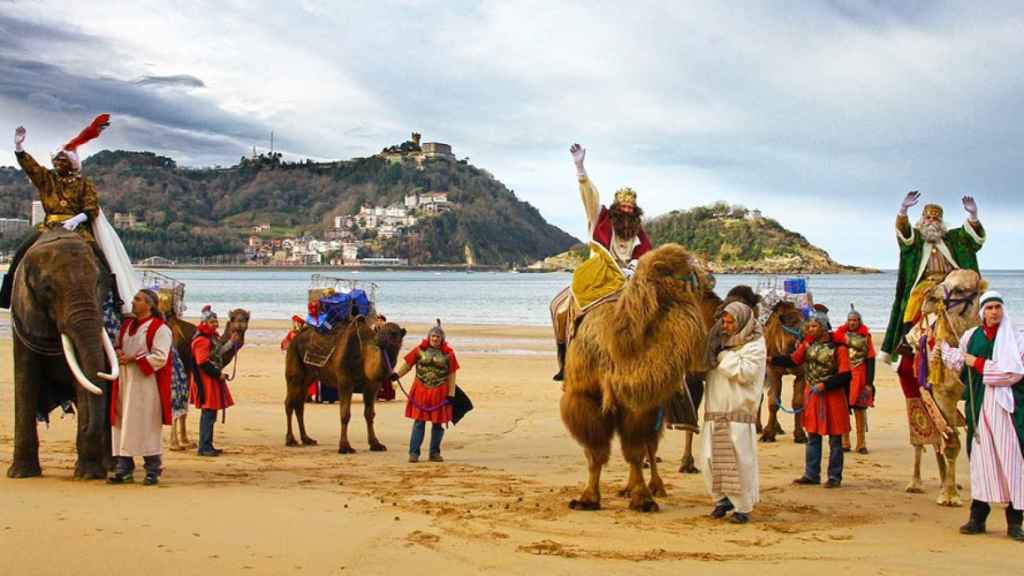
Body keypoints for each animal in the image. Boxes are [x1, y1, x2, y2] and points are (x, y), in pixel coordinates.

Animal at [7, 226, 119, 477]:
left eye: (99, 282)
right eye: (47, 289)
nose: (87, 428)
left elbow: (85, 382)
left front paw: (88, 474)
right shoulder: (22, 316)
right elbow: (25, 378)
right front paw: (21, 473)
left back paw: (111, 467)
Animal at [286, 315, 405, 450]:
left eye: (393, 333)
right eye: (380, 331)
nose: (378, 341)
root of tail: (296, 336)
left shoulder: (372, 385)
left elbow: (370, 414)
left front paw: (376, 444)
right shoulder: (345, 381)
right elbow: (345, 414)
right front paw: (345, 446)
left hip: (308, 376)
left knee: (299, 405)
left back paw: (307, 439)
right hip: (294, 365)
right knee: (289, 402)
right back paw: (290, 440)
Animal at [561, 242, 712, 510]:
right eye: (686, 272)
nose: (710, 279)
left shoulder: (642, 404)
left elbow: (636, 450)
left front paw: (643, 498)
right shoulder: (584, 397)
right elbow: (595, 451)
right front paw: (588, 498)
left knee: (650, 447)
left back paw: (654, 487)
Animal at [753, 297, 806, 440]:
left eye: (804, 322)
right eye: (792, 324)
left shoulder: (801, 373)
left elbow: (797, 402)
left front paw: (800, 435)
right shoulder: (772, 370)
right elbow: (773, 402)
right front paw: (767, 435)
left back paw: (777, 428)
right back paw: (758, 427)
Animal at [905, 266, 983, 504]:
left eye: (961, 288)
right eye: (946, 279)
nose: (929, 297)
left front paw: (950, 490)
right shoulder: (943, 394)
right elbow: (952, 443)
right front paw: (949, 496)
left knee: (939, 435)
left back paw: (944, 481)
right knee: (921, 437)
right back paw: (916, 484)